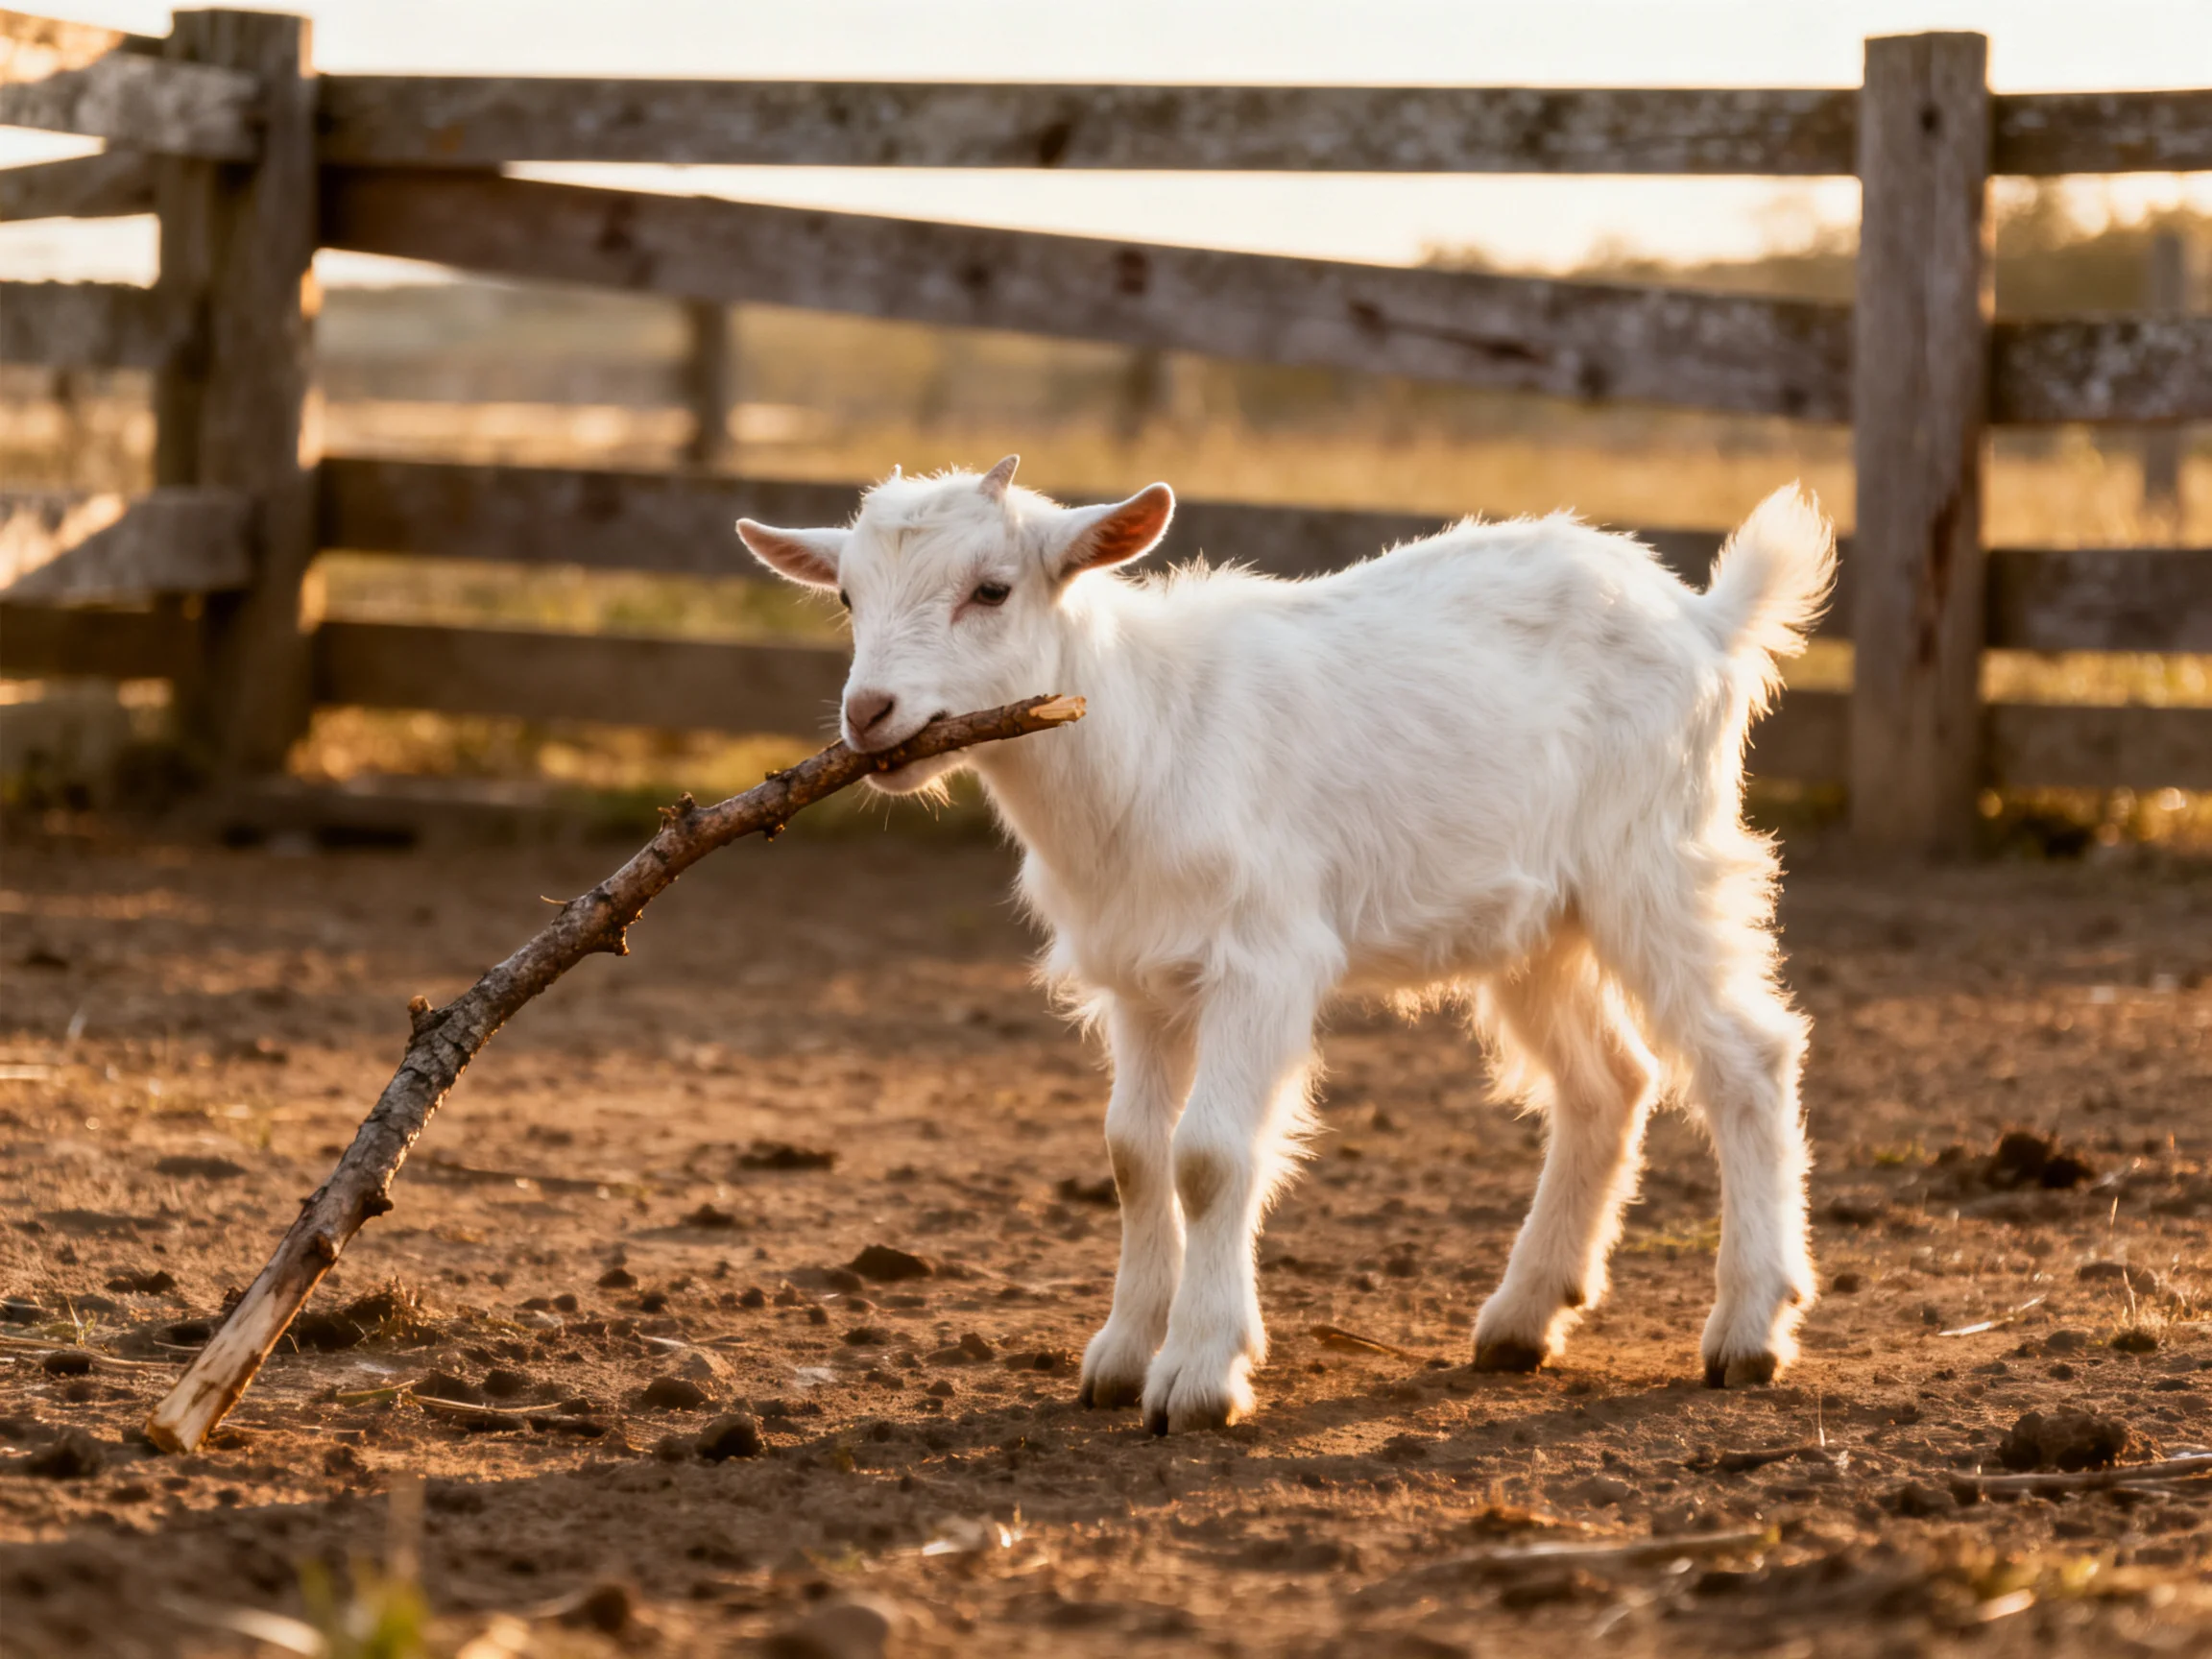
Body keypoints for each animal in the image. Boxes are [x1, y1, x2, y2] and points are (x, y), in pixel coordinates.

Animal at [738, 456, 1833, 1434]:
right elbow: (1133, 1153)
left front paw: (1196, 1374)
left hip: (1654, 861)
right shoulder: (1138, 979)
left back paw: (1747, 1330)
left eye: (992, 589)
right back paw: (1523, 1319)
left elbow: (1210, 1158)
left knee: (1746, 1056)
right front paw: (1120, 1356)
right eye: (847, 596)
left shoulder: (1263, 962)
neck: (1146, 735)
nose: (869, 714)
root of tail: (1703, 619)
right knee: (1607, 1079)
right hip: (1537, 921)